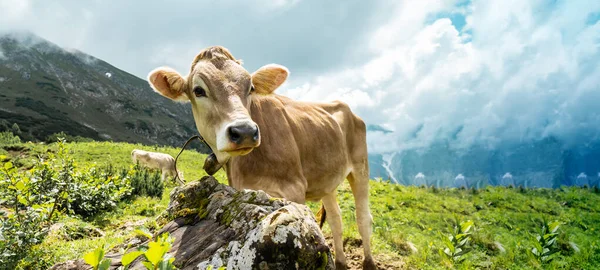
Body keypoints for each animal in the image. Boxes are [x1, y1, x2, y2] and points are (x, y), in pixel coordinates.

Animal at [148, 47, 378, 270]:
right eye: (198, 90)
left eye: (250, 87)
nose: (244, 131)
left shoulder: (294, 189)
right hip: (327, 180)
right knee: (336, 220)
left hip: (361, 168)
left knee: (363, 219)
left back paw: (369, 263)